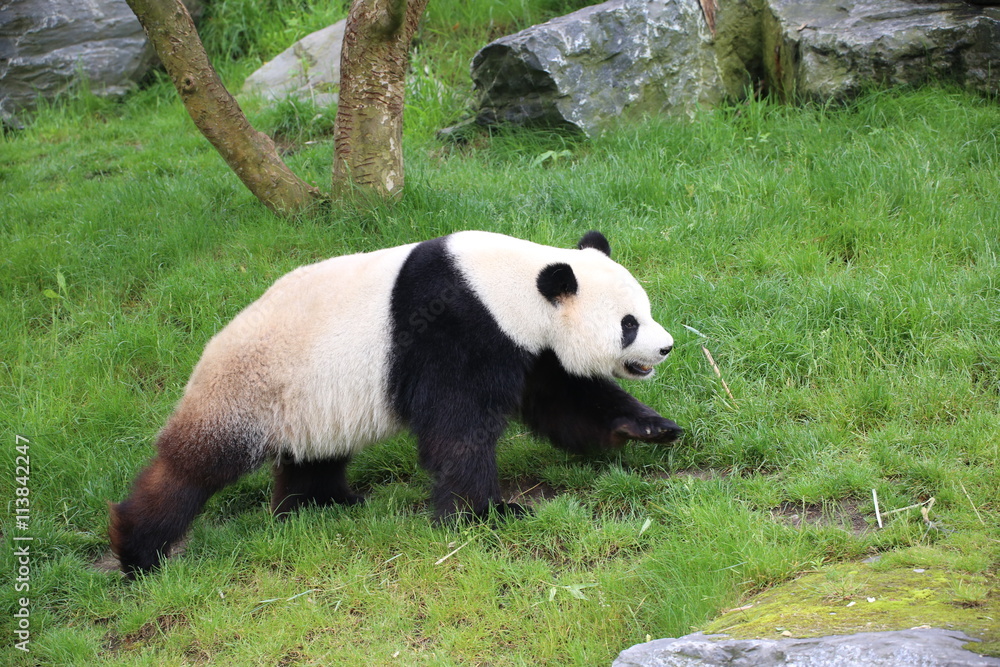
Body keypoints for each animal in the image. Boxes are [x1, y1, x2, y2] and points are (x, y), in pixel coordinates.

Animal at [111, 230, 688, 576]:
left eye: (644, 311)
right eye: (628, 323)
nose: (665, 347)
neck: (510, 285)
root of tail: (208, 352)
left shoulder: (527, 344)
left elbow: (564, 398)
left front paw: (650, 428)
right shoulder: (456, 328)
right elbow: (458, 428)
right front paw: (488, 513)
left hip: (314, 402)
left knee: (316, 456)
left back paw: (319, 506)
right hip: (251, 388)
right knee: (194, 468)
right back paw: (139, 550)